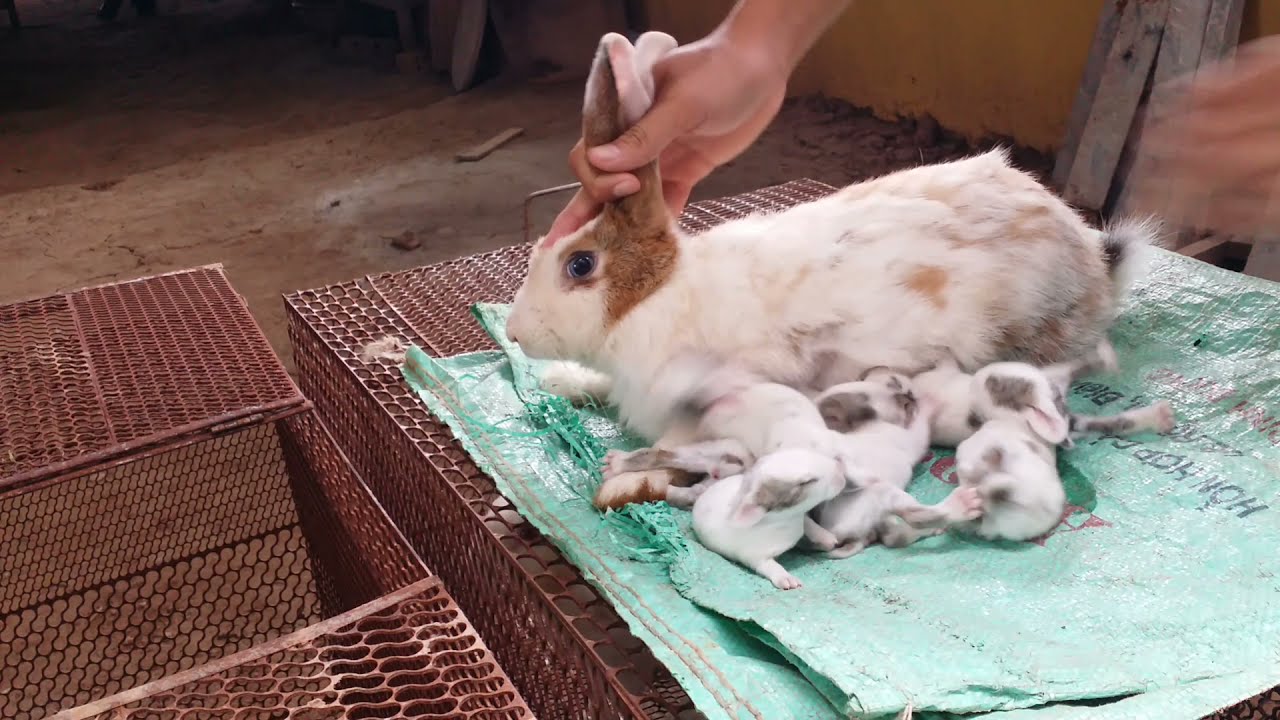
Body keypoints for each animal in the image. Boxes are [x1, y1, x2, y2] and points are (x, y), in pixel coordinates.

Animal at [504, 30, 1161, 511]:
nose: (514, 333)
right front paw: (563, 382)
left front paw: (619, 486)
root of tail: (1094, 266)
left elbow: (674, 443)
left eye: (581, 264)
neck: (658, 297)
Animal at [692, 448, 847, 590]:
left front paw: (825, 536)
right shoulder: (755, 557)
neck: (786, 519)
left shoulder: (799, 517)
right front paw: (787, 579)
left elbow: (807, 522)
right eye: (807, 481)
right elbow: (769, 566)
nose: (841, 468)